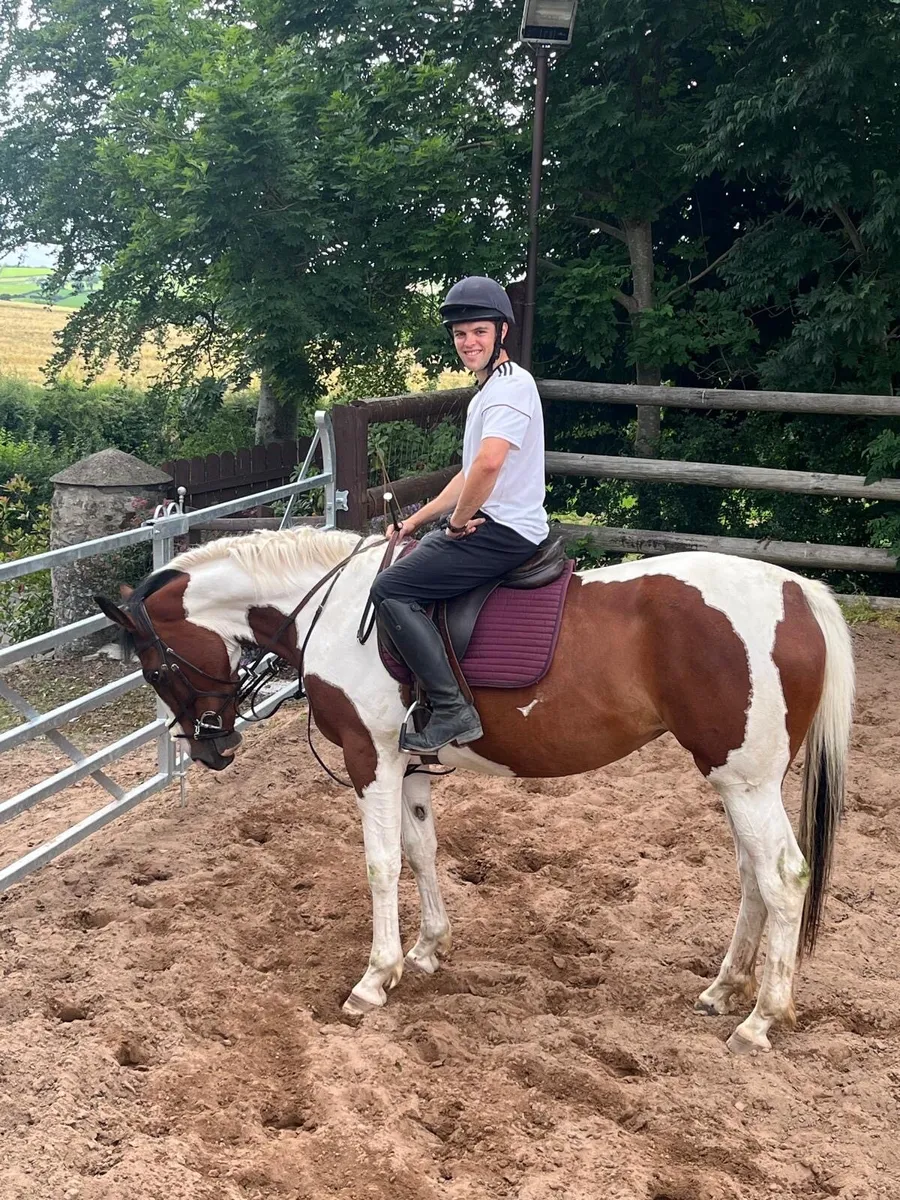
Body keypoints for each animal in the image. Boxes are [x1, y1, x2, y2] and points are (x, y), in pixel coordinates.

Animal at [95, 525, 854, 1054]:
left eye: (154, 668)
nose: (210, 748)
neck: (335, 613)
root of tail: (797, 592)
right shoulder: (407, 765)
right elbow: (422, 850)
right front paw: (428, 950)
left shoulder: (371, 759)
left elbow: (381, 865)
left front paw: (375, 977)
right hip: (738, 781)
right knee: (753, 876)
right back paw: (724, 989)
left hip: (745, 780)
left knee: (783, 877)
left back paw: (760, 1020)